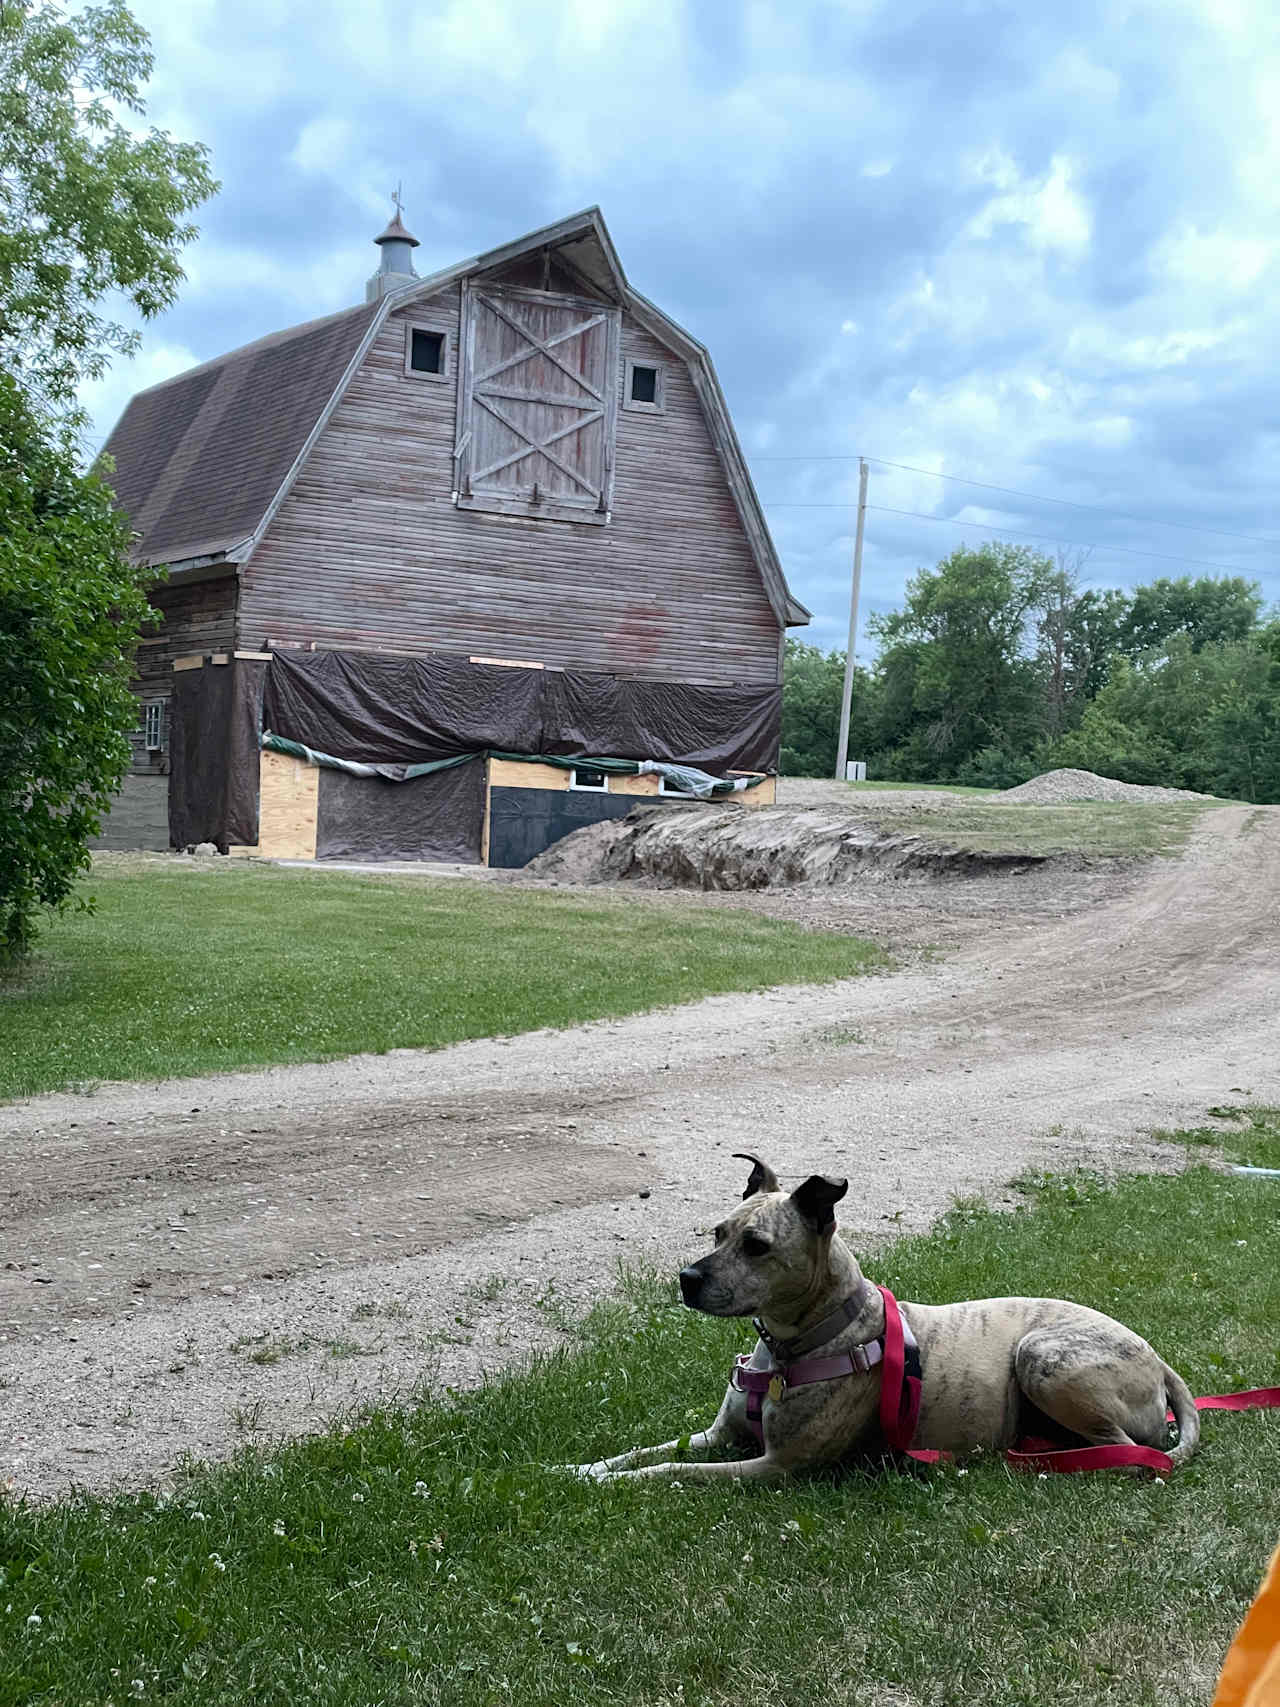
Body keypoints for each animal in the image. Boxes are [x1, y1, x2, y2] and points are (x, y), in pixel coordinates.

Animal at [573, 1160, 1201, 1481]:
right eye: (717, 1233)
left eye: (756, 1246)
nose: (686, 1278)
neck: (802, 1341)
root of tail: (1158, 1359)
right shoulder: (720, 1434)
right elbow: (649, 1450)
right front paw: (583, 1468)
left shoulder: (773, 1467)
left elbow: (674, 1471)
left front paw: (621, 1484)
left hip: (1043, 1357)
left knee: (1123, 1448)